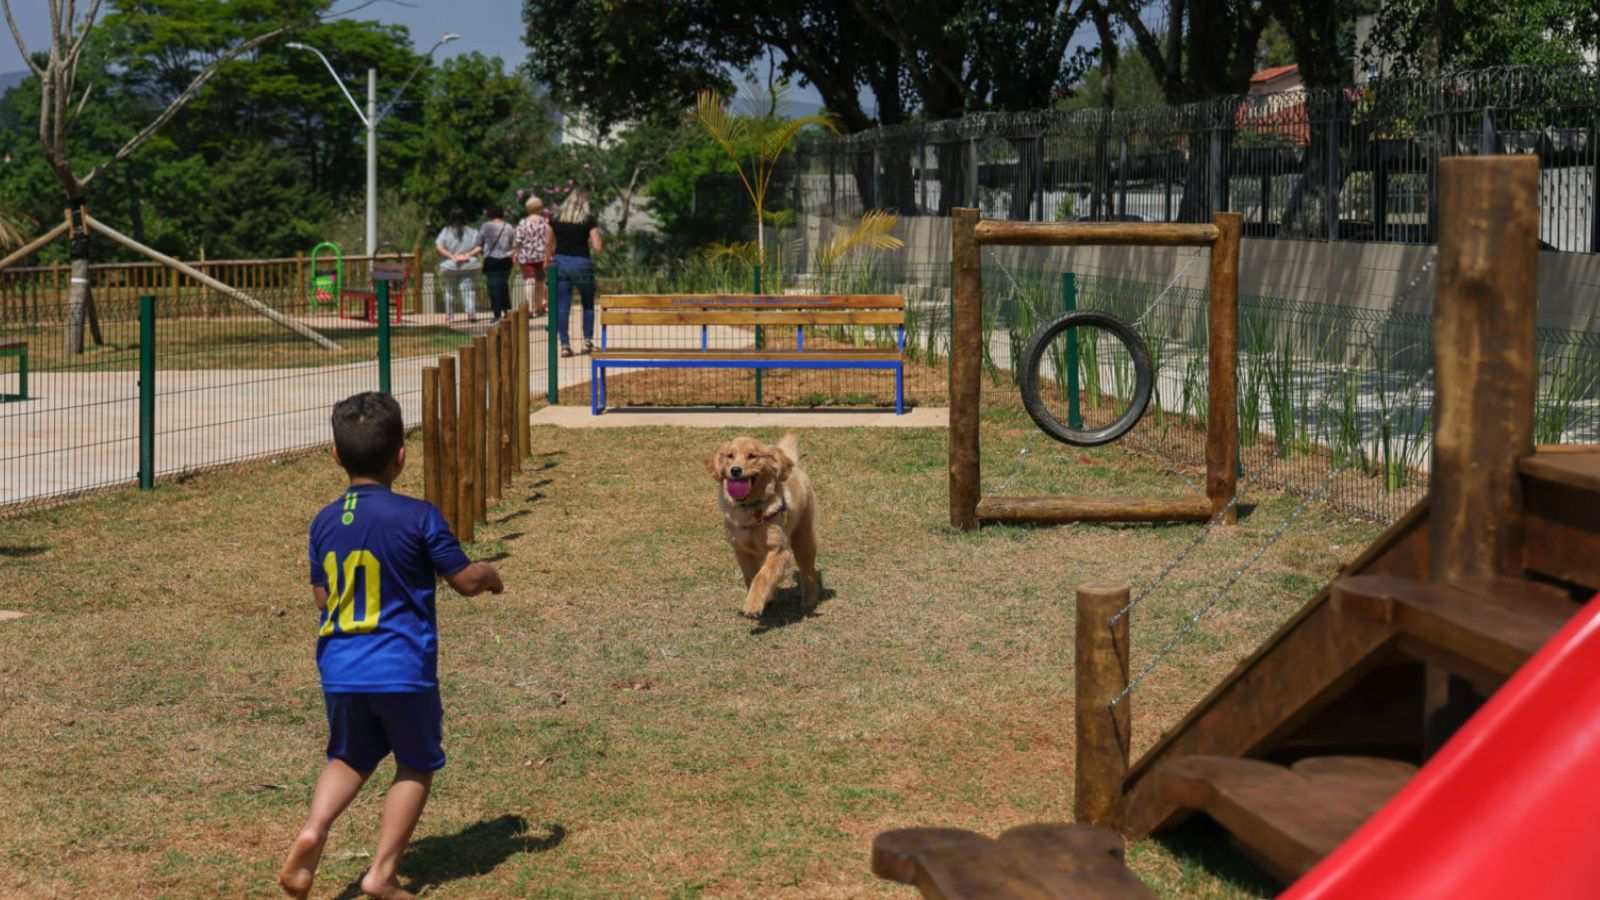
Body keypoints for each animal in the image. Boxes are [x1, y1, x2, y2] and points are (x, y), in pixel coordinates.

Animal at [707, 432, 819, 614]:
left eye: (752, 456)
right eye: (730, 456)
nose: (735, 470)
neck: (751, 508)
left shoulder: (778, 549)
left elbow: (762, 576)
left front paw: (752, 605)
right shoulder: (742, 549)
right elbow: (752, 576)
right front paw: (758, 598)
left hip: (803, 537)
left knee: (808, 571)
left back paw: (809, 600)